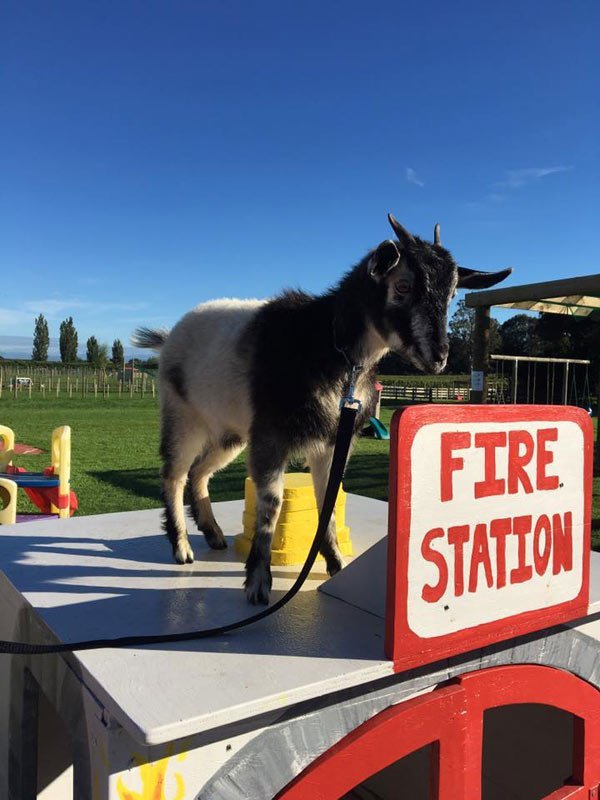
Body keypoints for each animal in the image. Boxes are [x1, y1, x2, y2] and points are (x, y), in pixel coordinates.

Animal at [132, 213, 511, 605]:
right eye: (403, 286)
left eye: (452, 295)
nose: (438, 357)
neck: (331, 347)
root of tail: (169, 338)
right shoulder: (270, 436)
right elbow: (271, 505)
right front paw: (258, 582)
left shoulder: (331, 442)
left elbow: (326, 500)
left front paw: (335, 564)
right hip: (183, 416)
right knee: (174, 473)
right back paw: (181, 547)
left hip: (230, 433)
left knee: (200, 472)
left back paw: (213, 534)